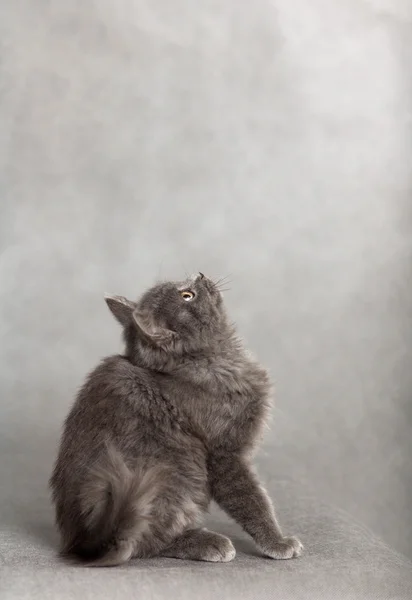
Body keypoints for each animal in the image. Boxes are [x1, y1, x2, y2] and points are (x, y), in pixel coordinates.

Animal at [50, 274, 302, 564]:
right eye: (187, 296)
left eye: (187, 287)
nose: (200, 275)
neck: (219, 360)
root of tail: (83, 543)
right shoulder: (225, 455)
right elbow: (252, 499)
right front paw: (278, 543)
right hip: (175, 476)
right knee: (146, 542)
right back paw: (208, 543)